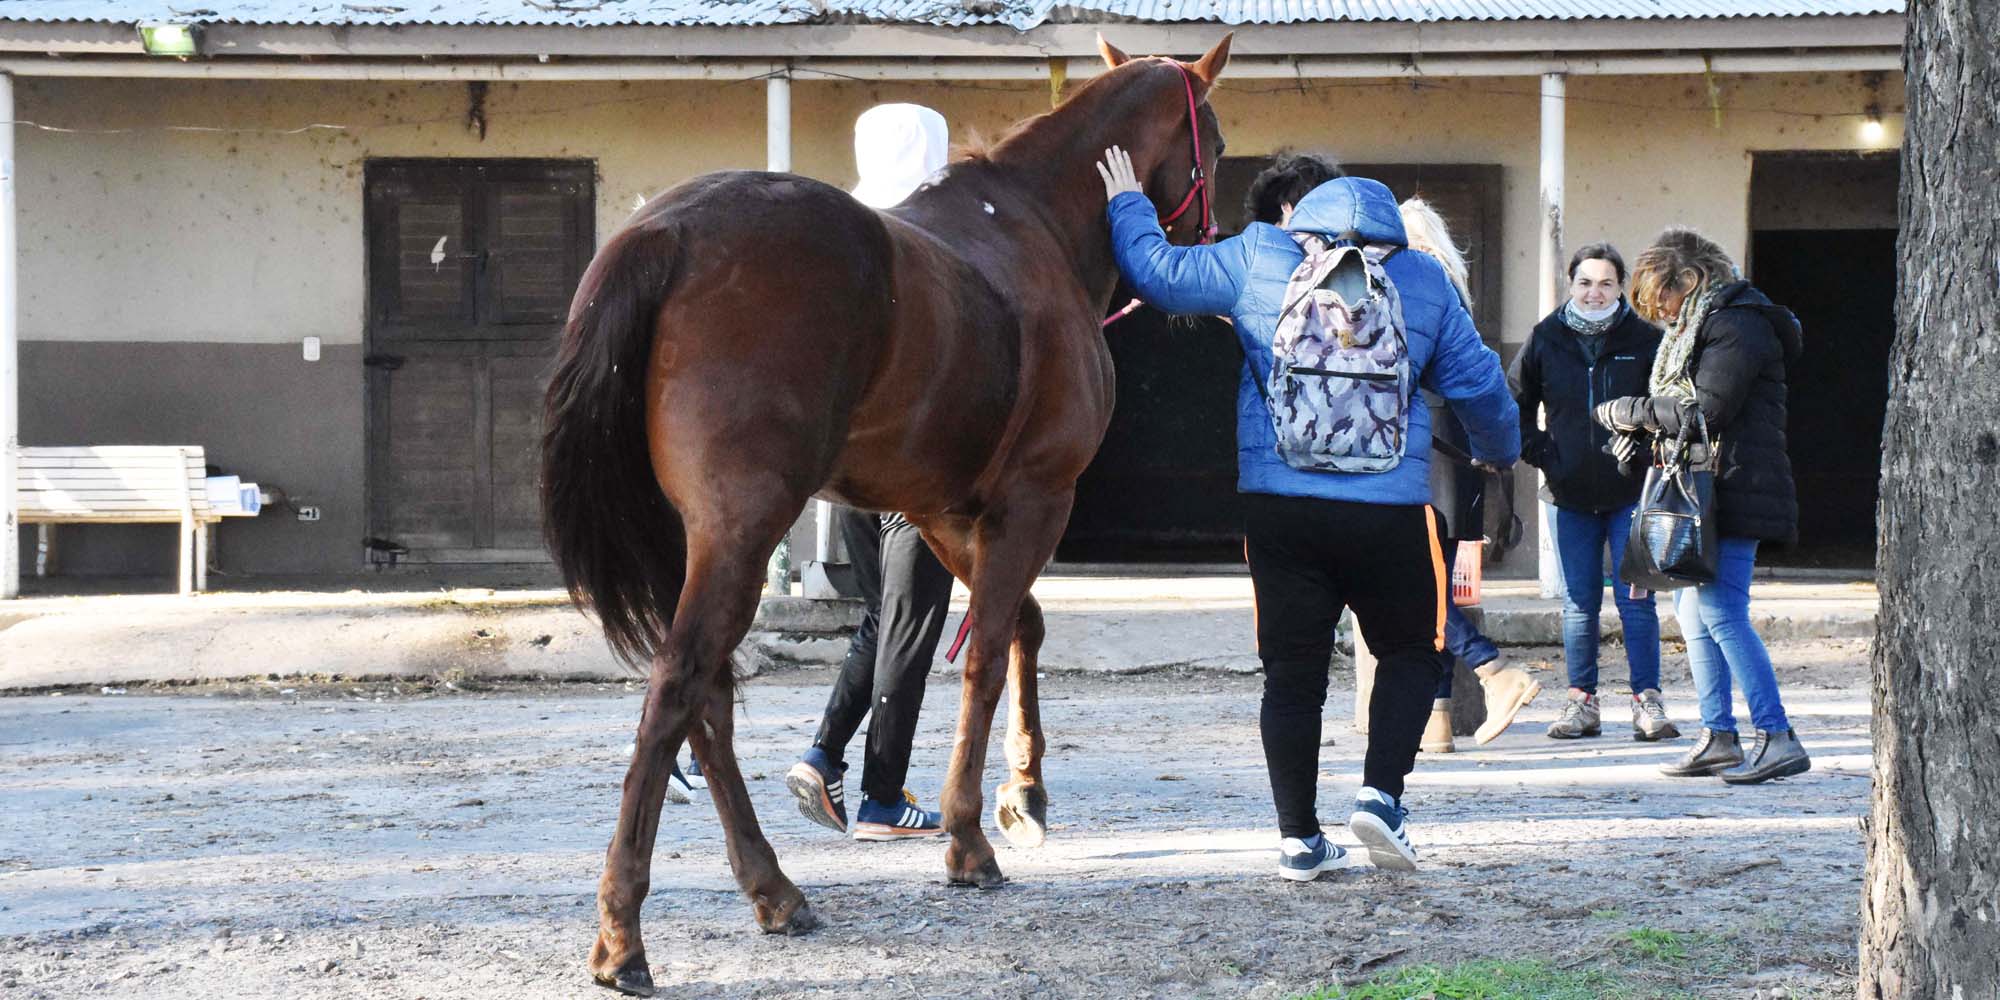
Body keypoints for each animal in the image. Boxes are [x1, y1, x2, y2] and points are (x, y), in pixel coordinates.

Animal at [548, 35, 1232, 996]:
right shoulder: (1035, 497)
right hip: (740, 535)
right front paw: (971, 838)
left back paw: (774, 891)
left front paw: (1026, 791)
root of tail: (666, 232)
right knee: (678, 690)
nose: (1204, 244)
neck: (1034, 229)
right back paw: (624, 935)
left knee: (708, 703)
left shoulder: (945, 509)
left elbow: (1021, 626)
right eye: (1217, 139)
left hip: (701, 541)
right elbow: (985, 653)